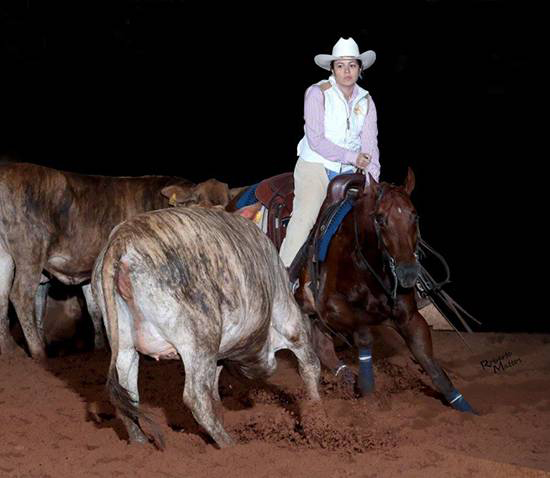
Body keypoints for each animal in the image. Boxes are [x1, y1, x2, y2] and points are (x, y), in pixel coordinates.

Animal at [0, 162, 231, 358]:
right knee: (20, 296)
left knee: (3, 298)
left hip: (5, 257)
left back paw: (11, 351)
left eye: (226, 207)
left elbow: (95, 309)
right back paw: (38, 353)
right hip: (30, 251)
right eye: (199, 205)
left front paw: (99, 348)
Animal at [92, 205, 322, 448]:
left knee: (128, 395)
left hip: (124, 345)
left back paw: (140, 443)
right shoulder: (288, 318)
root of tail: (122, 241)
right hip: (200, 334)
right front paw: (317, 416)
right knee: (196, 397)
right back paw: (229, 445)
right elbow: (310, 365)